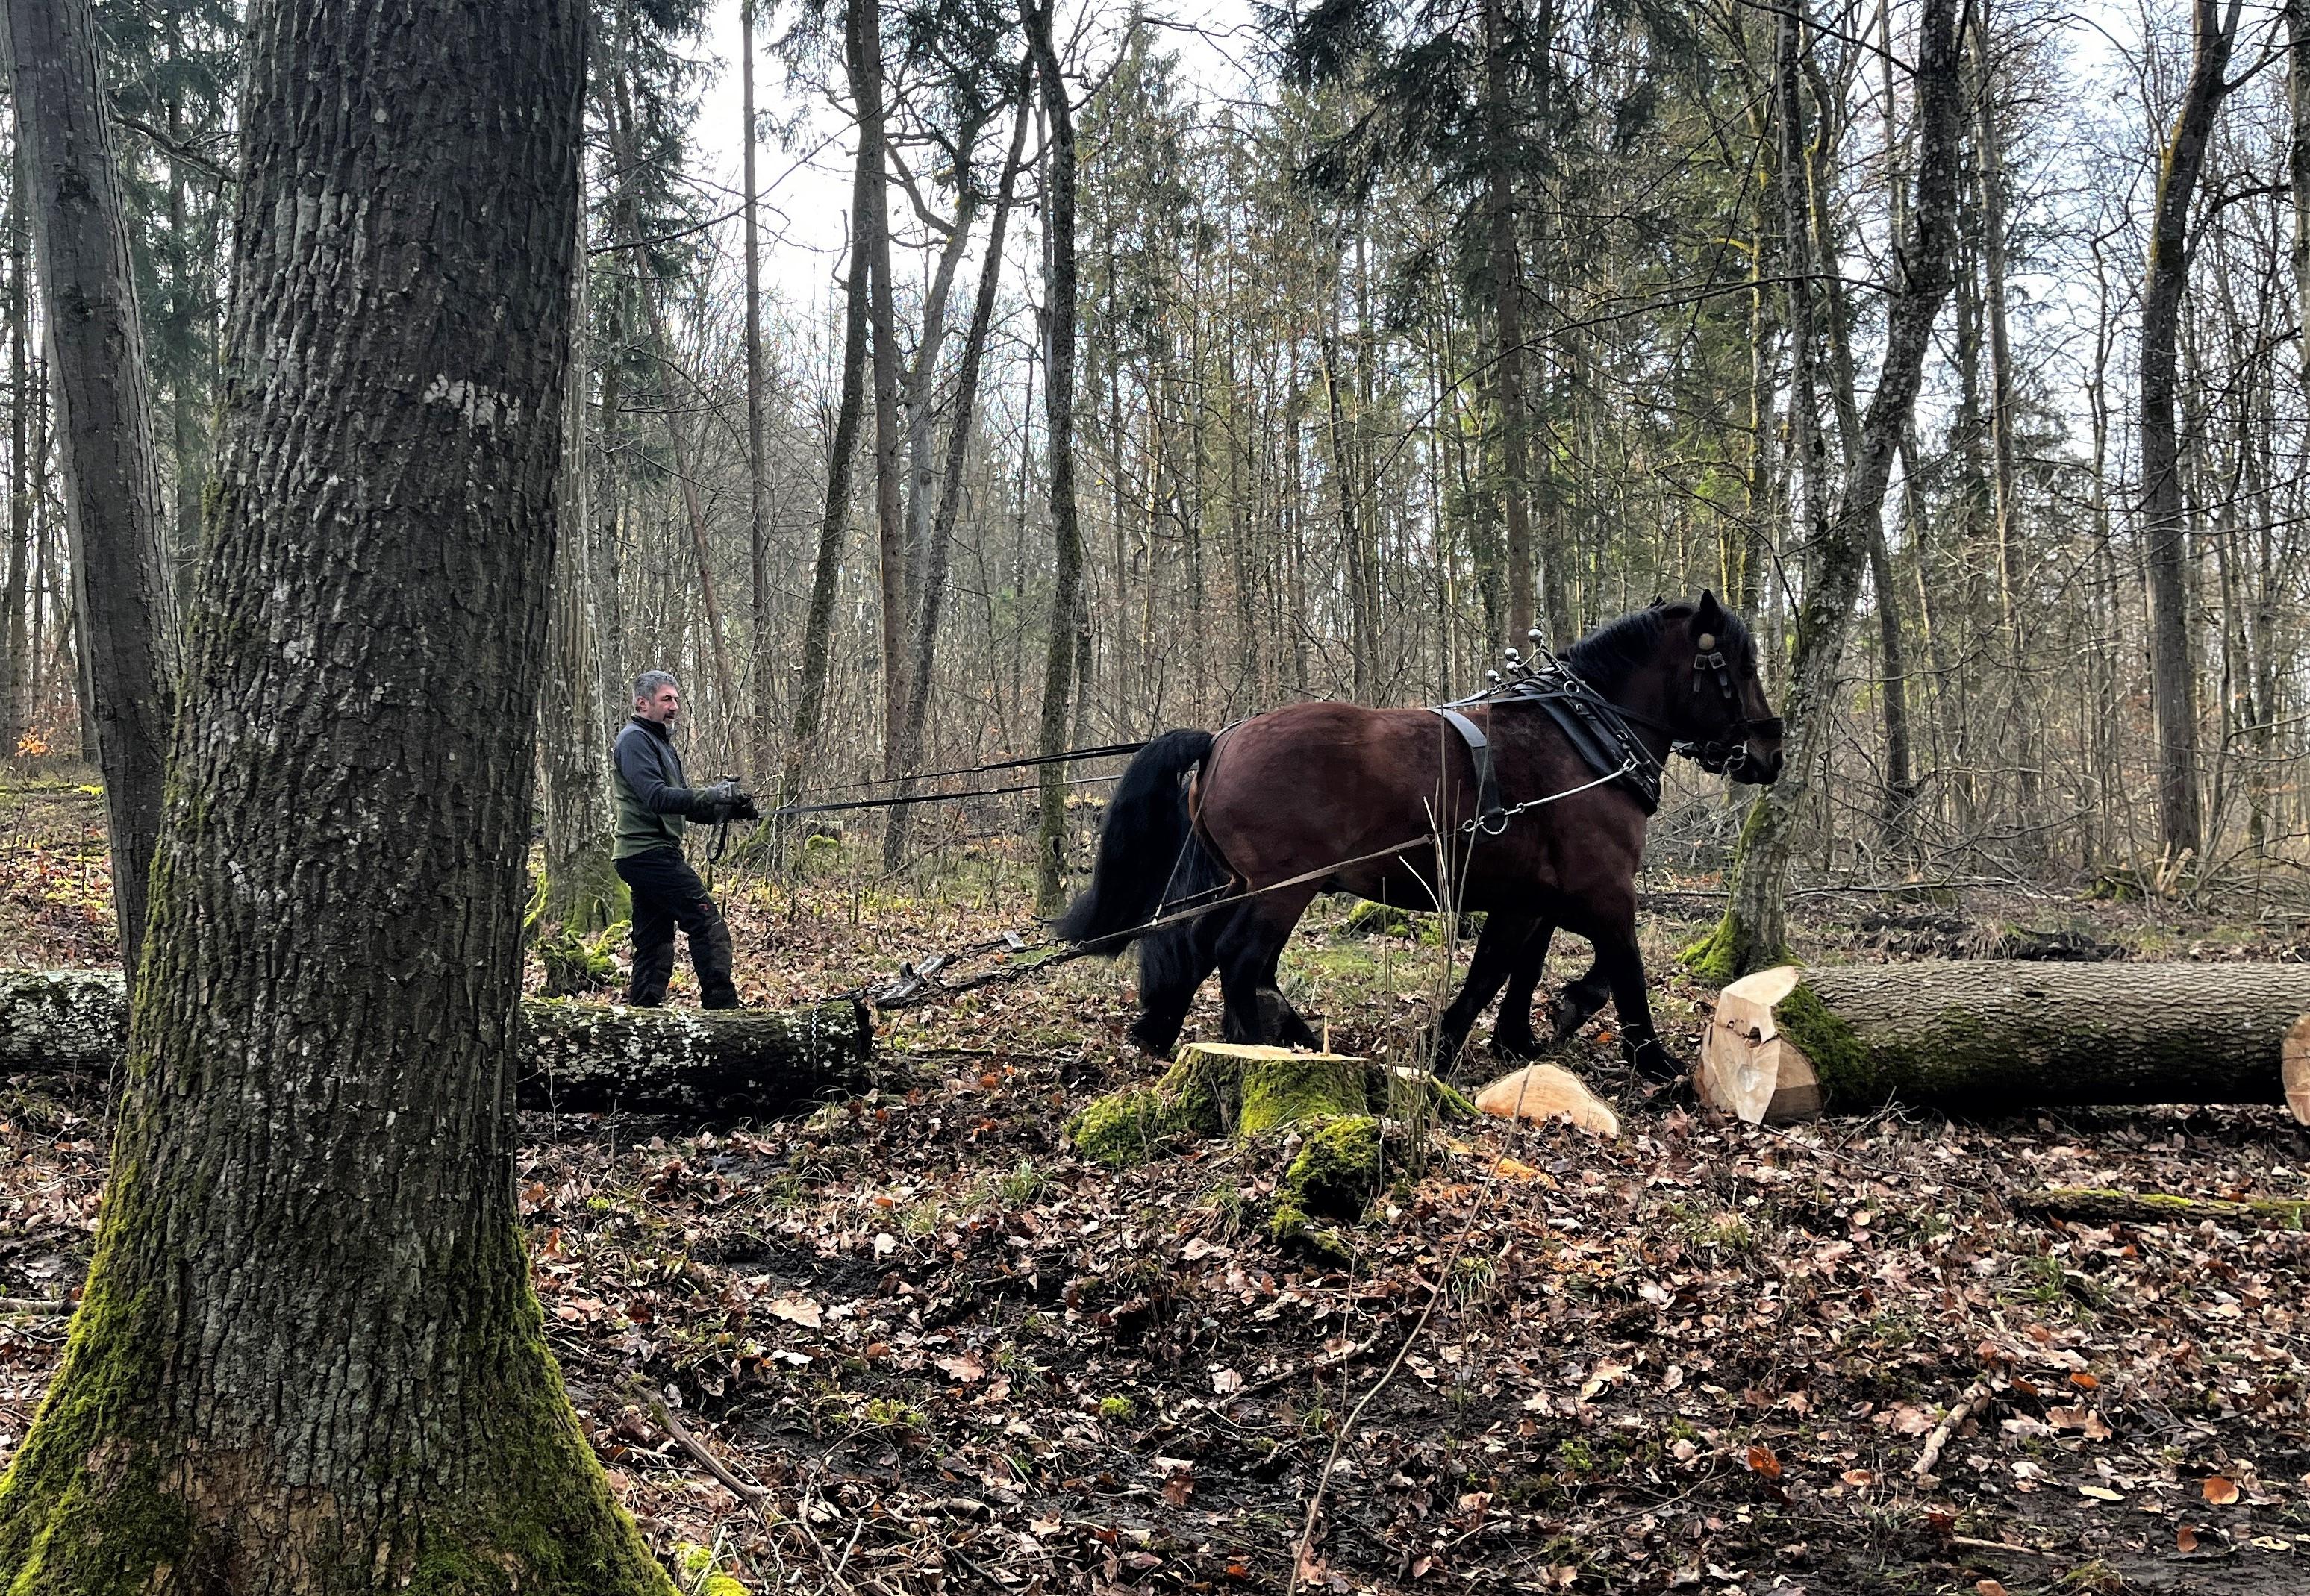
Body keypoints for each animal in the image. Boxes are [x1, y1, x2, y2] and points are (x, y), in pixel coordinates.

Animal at [1055, 594, 1784, 1076]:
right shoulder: (1604, 888)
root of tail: (1221, 739)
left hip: (1245, 883)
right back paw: (1260, 1040)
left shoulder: (1532, 897)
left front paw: (1498, 1038)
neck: (1583, 739)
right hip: (1281, 887)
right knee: (1238, 957)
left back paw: (1193, 1029)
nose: (1770, 752)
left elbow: (1506, 967)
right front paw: (1650, 1058)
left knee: (1200, 946)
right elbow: (1623, 968)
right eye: (1740, 668)